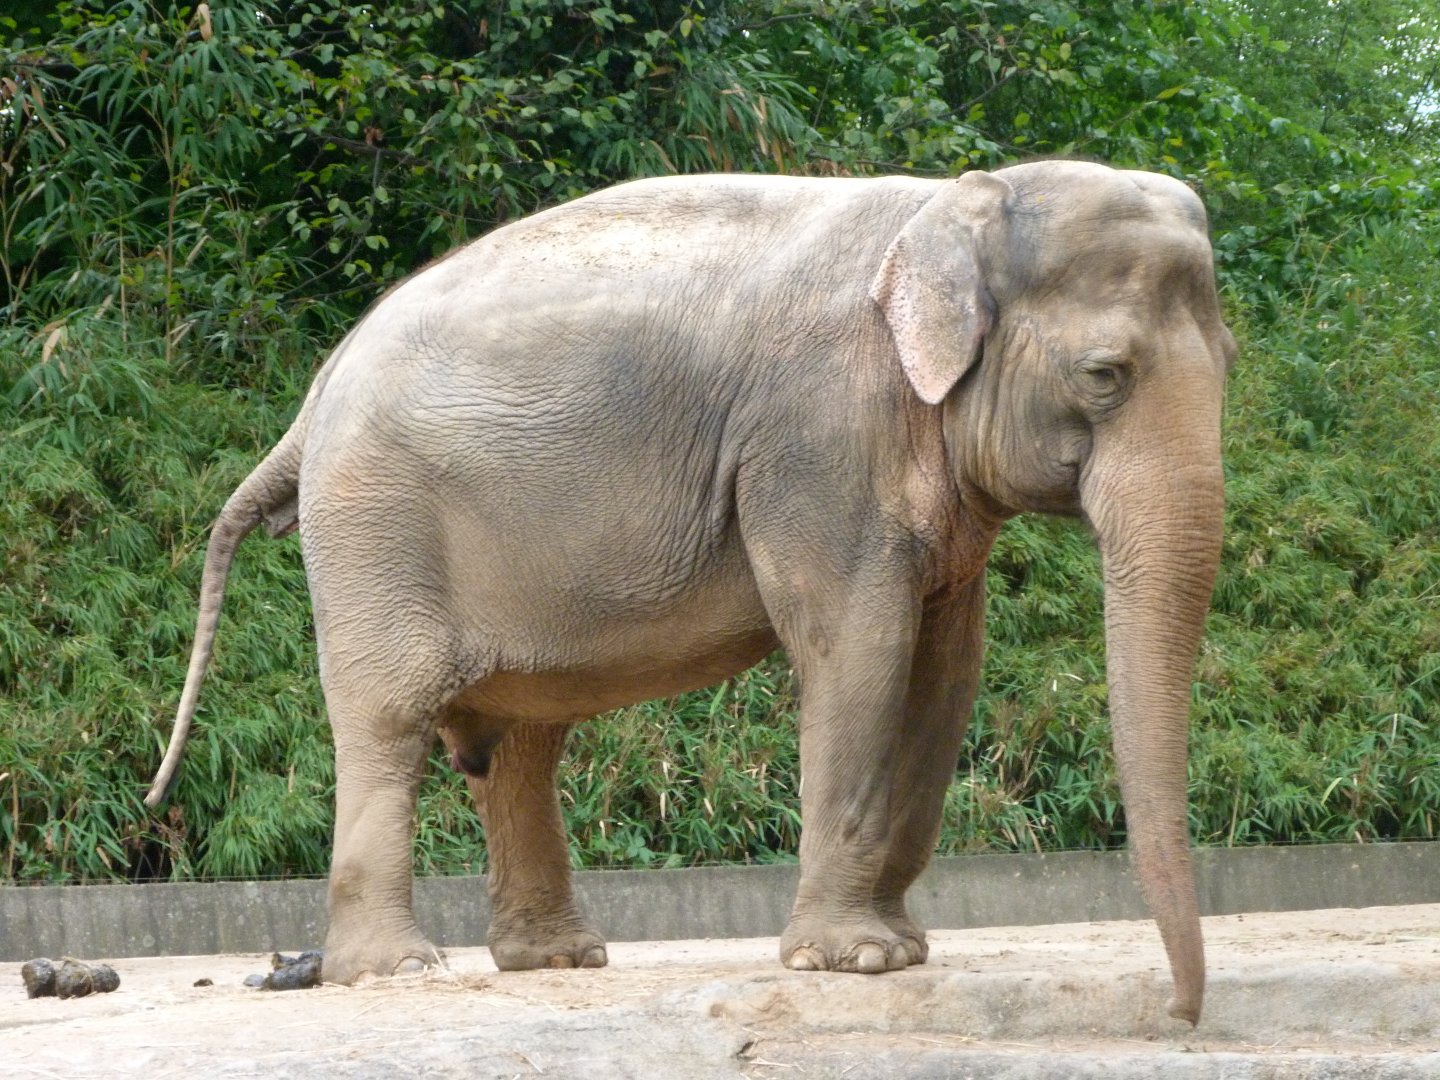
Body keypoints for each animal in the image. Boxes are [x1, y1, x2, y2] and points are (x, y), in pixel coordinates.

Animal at [146, 159, 1234, 1024]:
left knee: (521, 741)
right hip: (375, 526)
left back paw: (558, 960)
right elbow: (858, 645)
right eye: (1104, 374)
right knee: (390, 719)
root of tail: (311, 401)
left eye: (1228, 363)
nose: (1180, 1014)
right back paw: (397, 972)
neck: (948, 204)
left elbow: (945, 672)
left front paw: (896, 951)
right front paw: (854, 960)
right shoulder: (814, 440)